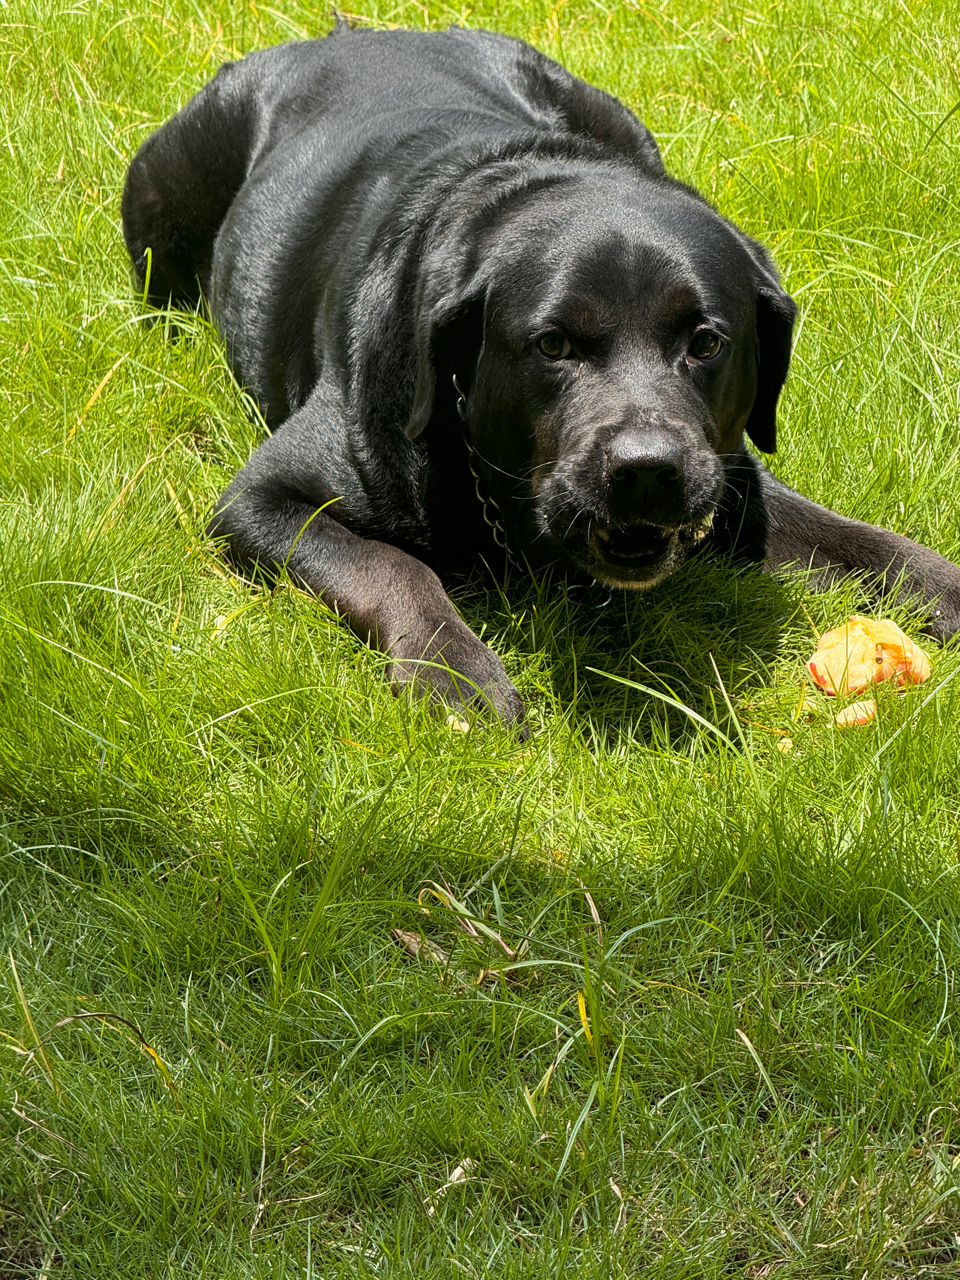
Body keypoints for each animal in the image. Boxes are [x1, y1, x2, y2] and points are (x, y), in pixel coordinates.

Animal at [124, 24, 960, 727]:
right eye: (553, 344)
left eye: (706, 342)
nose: (647, 469)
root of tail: (348, 31)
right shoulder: (261, 499)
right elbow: (390, 565)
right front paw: (452, 671)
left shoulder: (730, 478)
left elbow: (865, 541)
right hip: (161, 212)